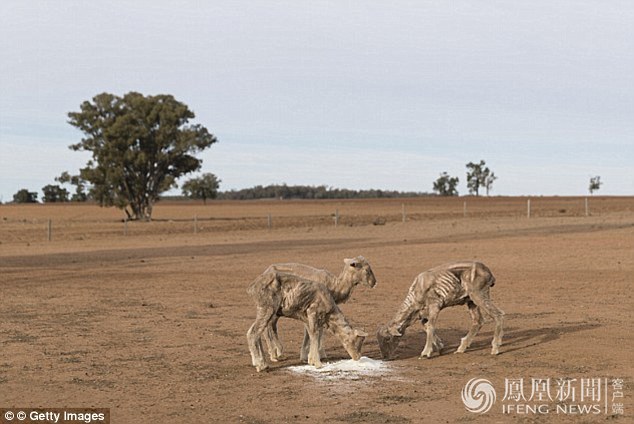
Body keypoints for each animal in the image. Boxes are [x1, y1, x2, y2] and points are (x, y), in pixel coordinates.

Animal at [376, 262, 504, 362]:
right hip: (470, 300)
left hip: (479, 294)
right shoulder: (423, 315)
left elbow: (431, 326)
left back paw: (495, 348)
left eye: (388, 338)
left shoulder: (434, 306)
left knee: (498, 315)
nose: (385, 358)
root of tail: (489, 274)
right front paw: (440, 347)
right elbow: (426, 327)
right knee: (478, 321)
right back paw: (461, 348)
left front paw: (425, 353)